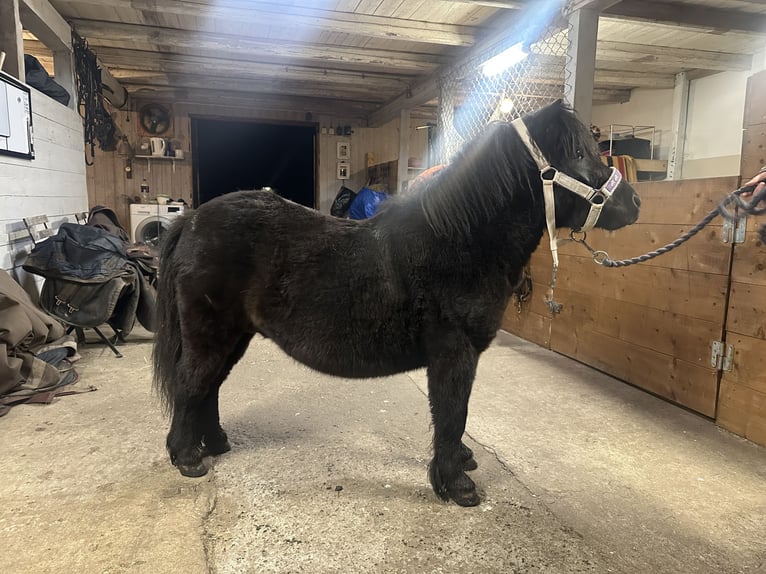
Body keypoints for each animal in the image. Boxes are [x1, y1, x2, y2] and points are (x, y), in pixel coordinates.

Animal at [153, 99, 641, 507]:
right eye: (576, 153)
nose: (634, 202)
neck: (460, 243)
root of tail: (191, 220)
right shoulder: (454, 352)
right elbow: (452, 412)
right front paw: (456, 485)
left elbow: (455, 415)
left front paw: (461, 460)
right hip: (210, 334)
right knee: (192, 384)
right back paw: (188, 457)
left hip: (235, 336)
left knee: (209, 387)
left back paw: (215, 443)